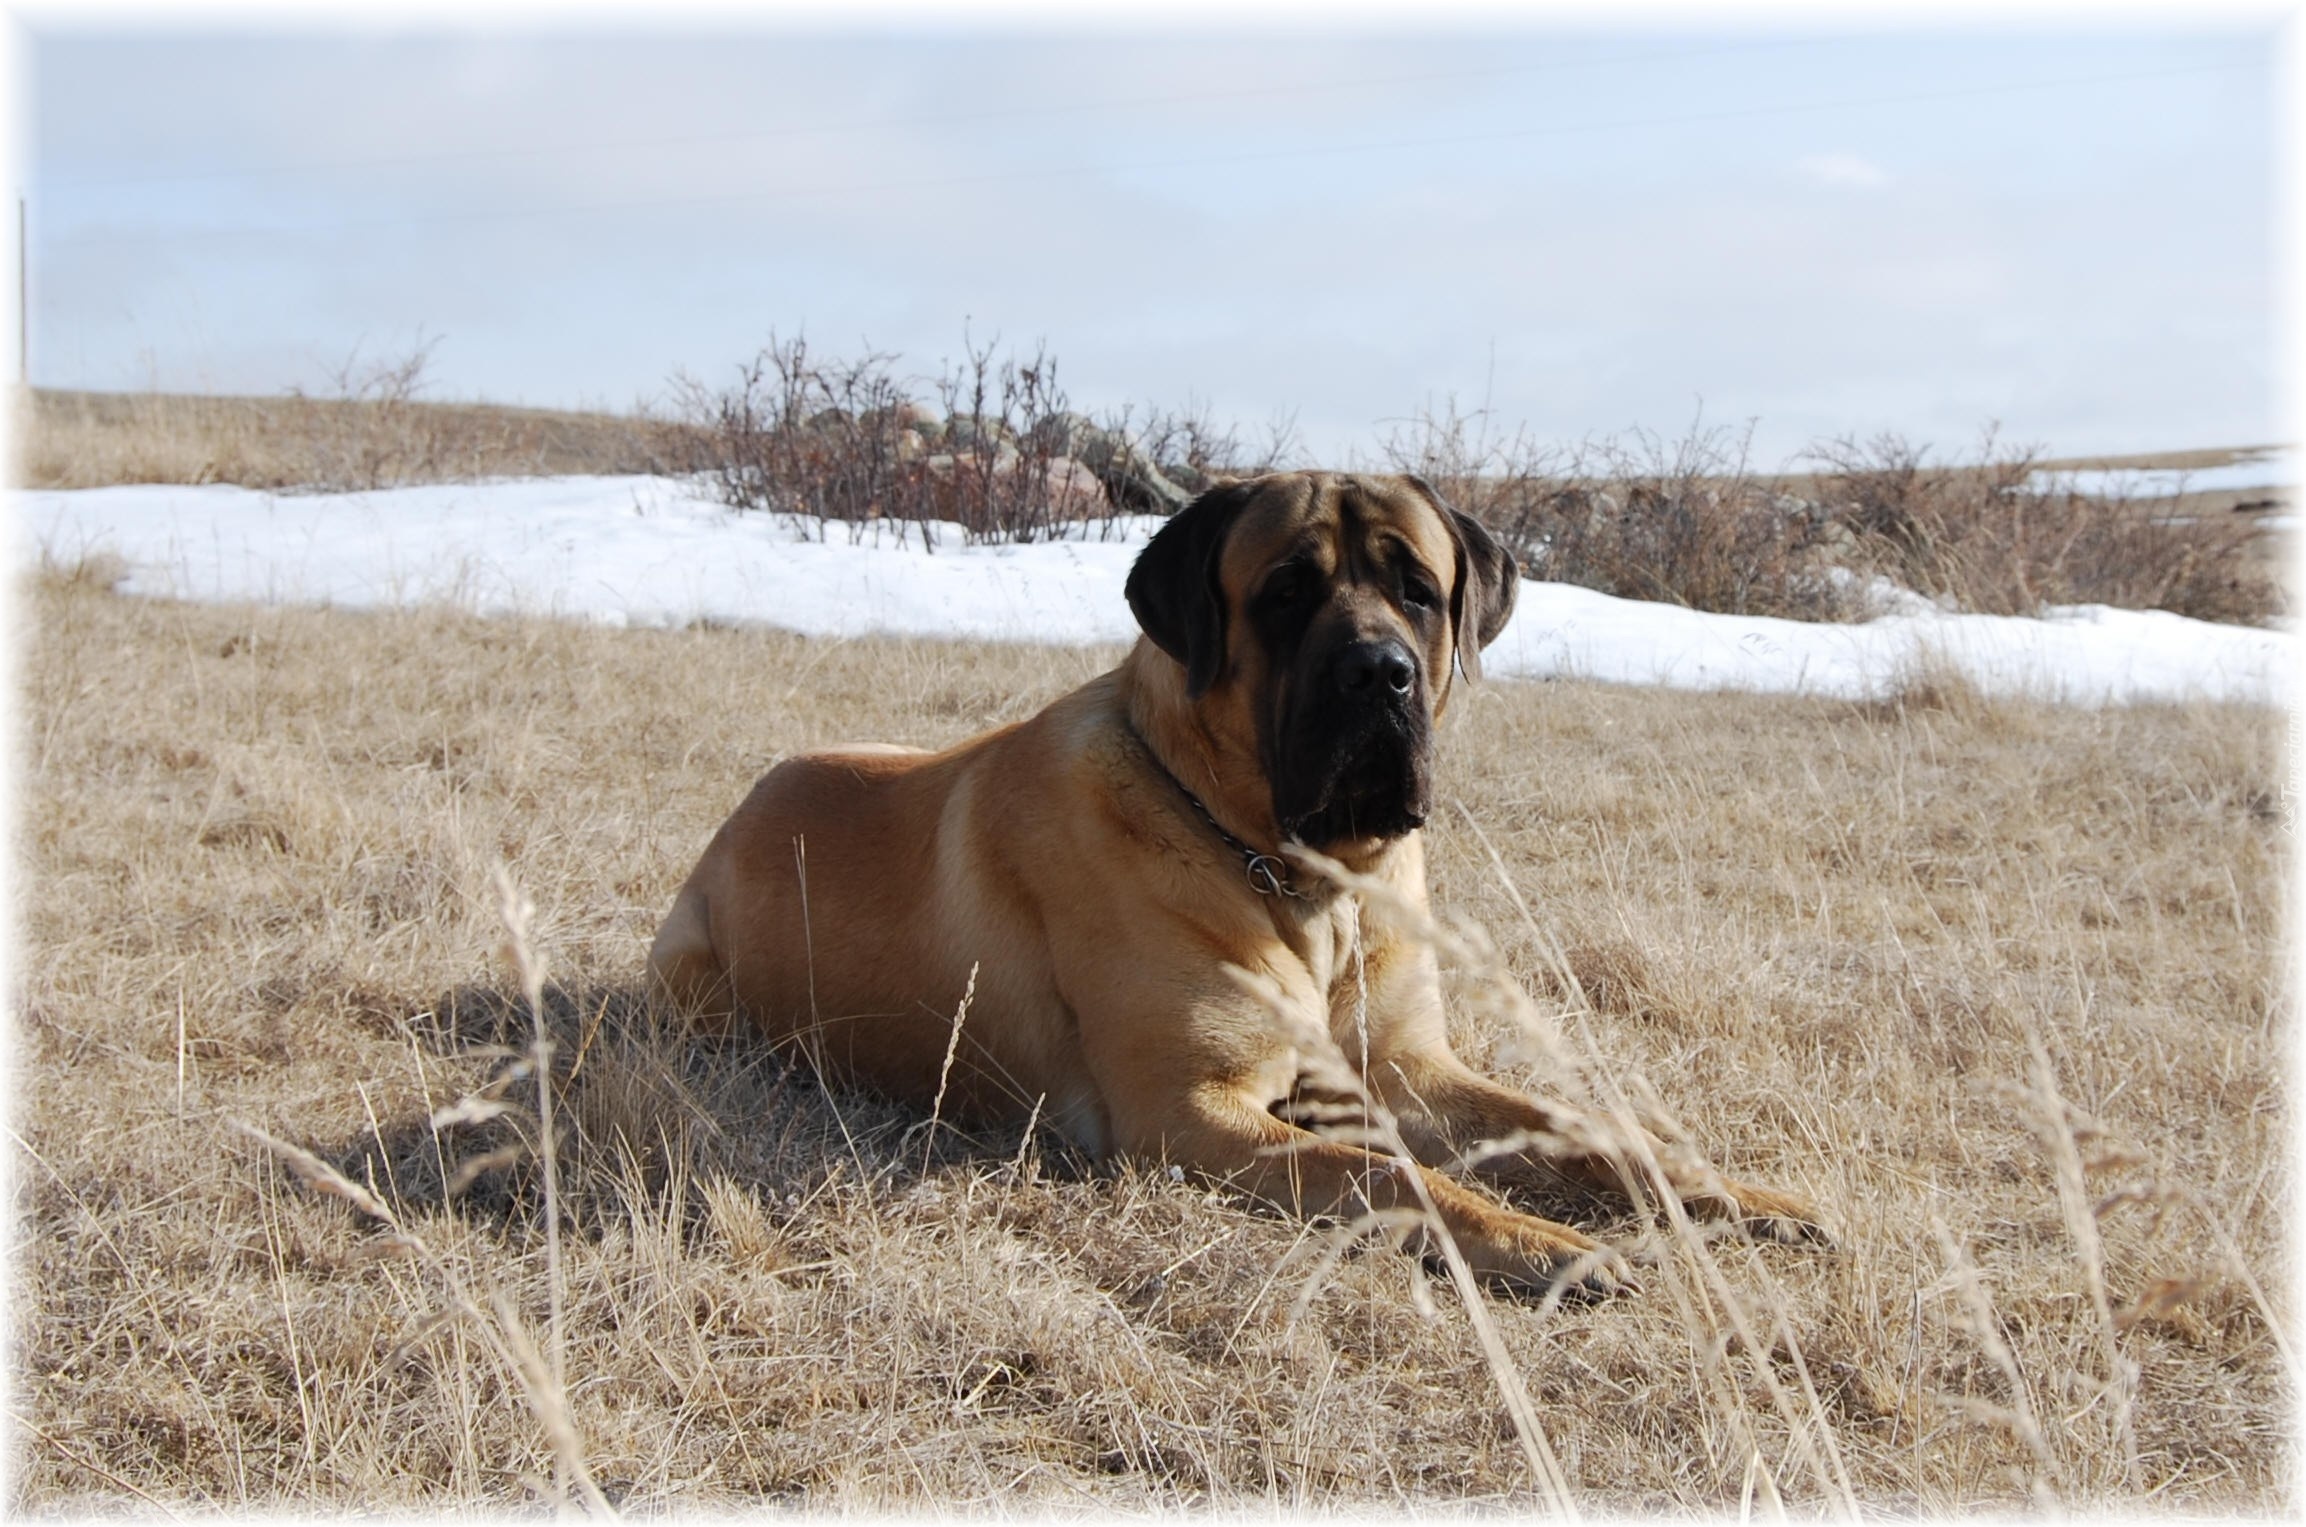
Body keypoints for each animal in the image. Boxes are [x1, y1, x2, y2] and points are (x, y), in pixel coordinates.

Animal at [645, 472, 1817, 1300]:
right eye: (1285, 594)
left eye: (1419, 591)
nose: (1379, 673)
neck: (1305, 881)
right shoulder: (1191, 1115)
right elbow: (1393, 1177)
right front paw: (1541, 1242)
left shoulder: (1406, 1069)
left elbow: (1590, 1130)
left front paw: (1730, 1194)